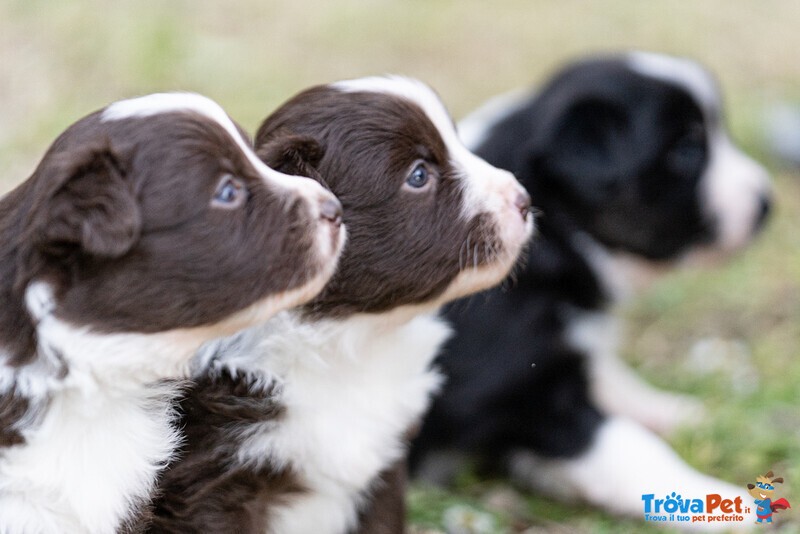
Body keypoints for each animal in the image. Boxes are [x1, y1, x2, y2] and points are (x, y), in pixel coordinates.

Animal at [410, 52, 772, 524]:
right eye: (686, 150)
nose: (767, 203)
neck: (556, 236)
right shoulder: (522, 397)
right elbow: (627, 447)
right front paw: (712, 498)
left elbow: (608, 374)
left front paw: (670, 409)